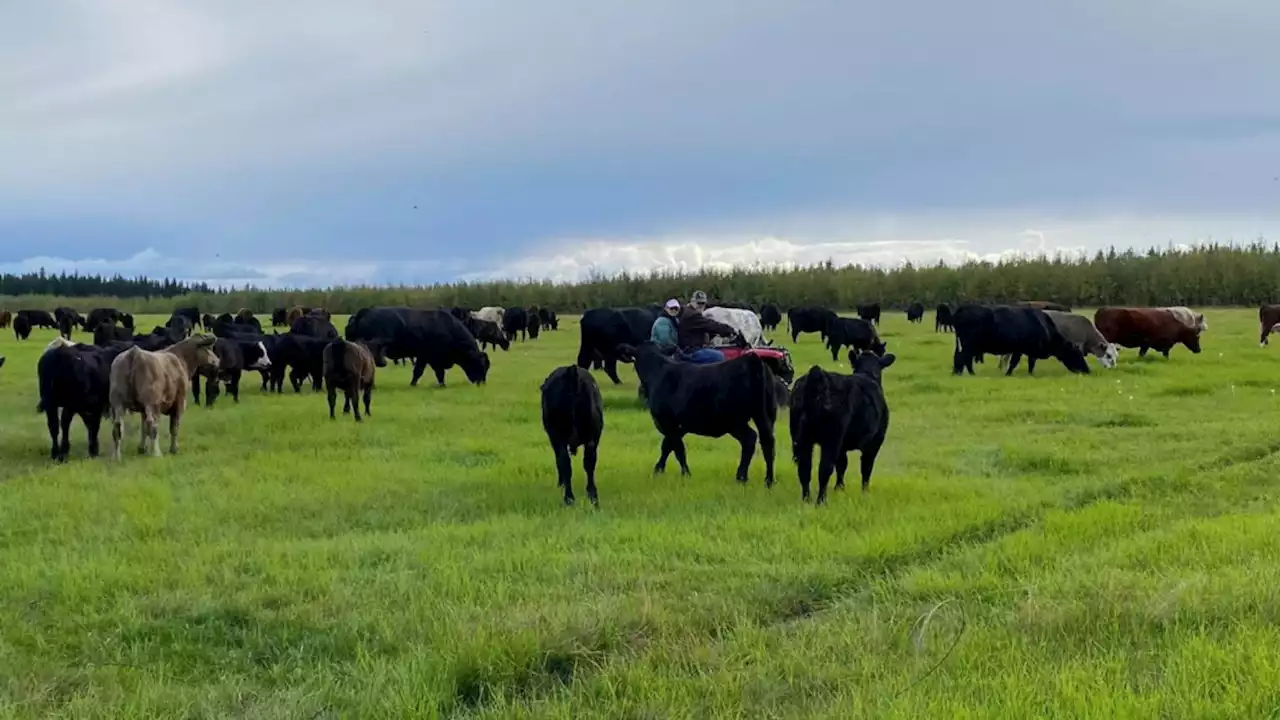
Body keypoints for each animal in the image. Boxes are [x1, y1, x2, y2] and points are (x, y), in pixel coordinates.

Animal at [345, 308, 488, 386]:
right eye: (480, 364)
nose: (481, 382)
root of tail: (363, 312)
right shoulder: (434, 358)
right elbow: (438, 373)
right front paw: (442, 385)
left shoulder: (422, 357)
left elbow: (418, 372)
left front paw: (413, 384)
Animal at [535, 363, 604, 504]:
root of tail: (571, 372)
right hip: (592, 437)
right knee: (589, 462)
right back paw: (592, 497)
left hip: (558, 436)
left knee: (564, 462)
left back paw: (568, 498)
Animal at [622, 338, 773, 484]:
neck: (657, 370)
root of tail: (749, 360)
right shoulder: (678, 426)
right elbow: (668, 446)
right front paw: (659, 470)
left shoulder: (667, 423)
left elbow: (676, 448)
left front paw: (684, 474)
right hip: (763, 416)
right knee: (767, 441)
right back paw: (768, 480)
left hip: (734, 421)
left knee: (750, 439)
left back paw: (741, 477)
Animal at [783, 351, 896, 502]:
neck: (868, 374)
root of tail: (817, 374)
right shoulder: (875, 441)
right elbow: (866, 466)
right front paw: (865, 491)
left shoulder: (842, 445)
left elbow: (842, 464)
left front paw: (839, 488)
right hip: (831, 438)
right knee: (824, 469)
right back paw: (821, 501)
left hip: (801, 437)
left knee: (804, 469)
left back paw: (806, 500)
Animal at [952, 302, 1090, 376]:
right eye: (1077, 354)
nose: (1087, 370)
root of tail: (962, 309)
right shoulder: (1021, 349)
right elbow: (1017, 362)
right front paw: (1009, 374)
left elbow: (1028, 363)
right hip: (969, 345)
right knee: (965, 358)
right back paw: (971, 374)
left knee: (959, 357)